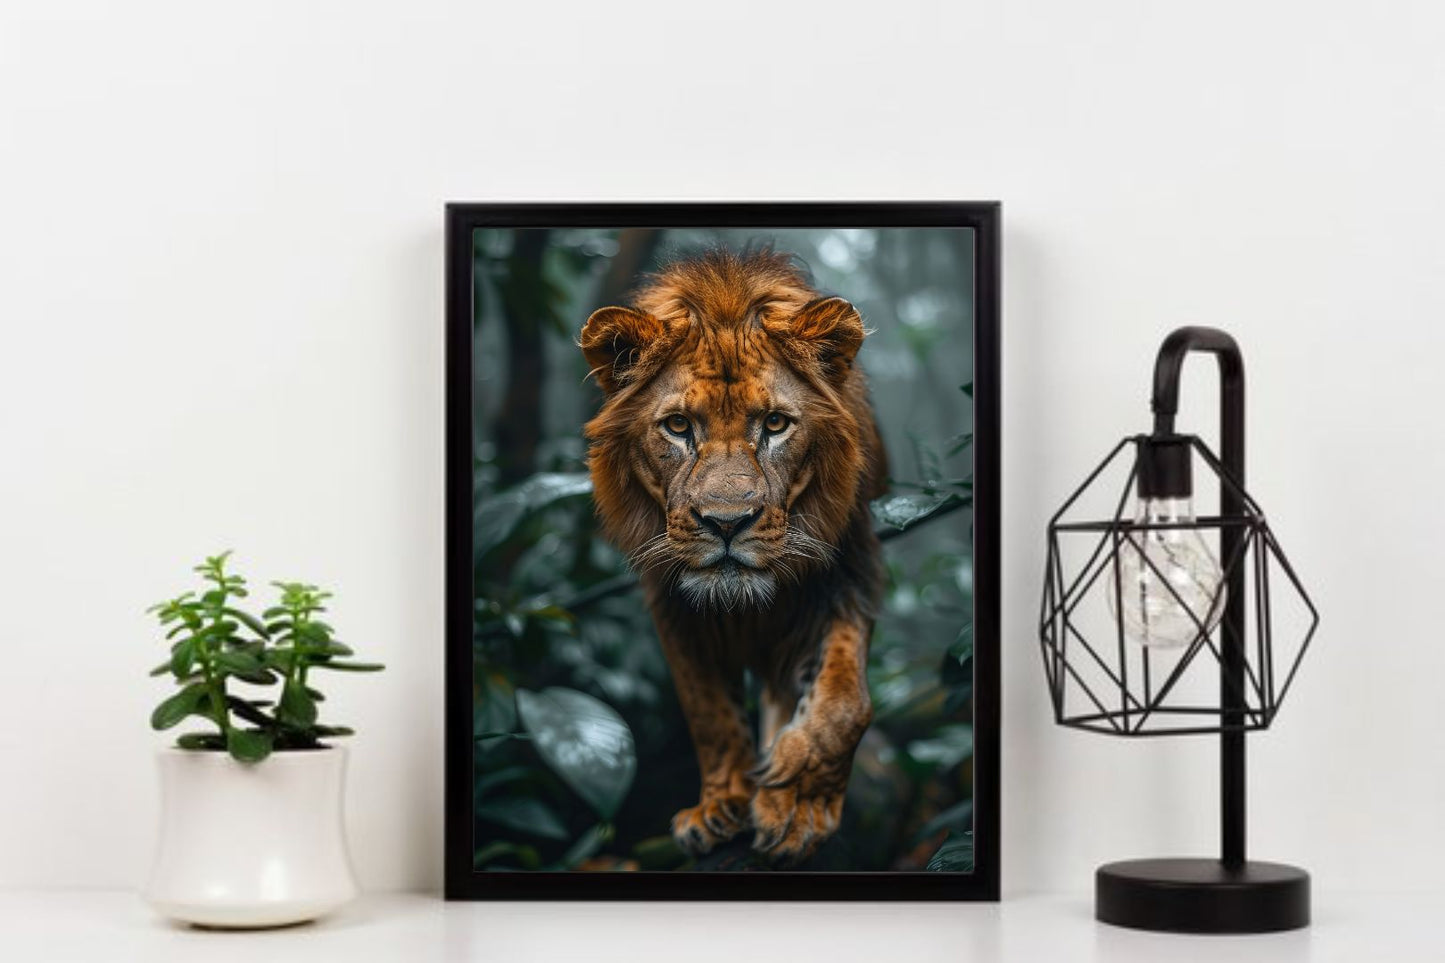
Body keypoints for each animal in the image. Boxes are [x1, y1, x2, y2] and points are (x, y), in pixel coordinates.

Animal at [579, 248, 887, 864]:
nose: (726, 523)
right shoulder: (671, 602)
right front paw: (723, 804)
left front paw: (798, 804)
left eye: (775, 424)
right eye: (678, 426)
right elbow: (708, 710)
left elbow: (844, 703)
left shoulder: (847, 576)